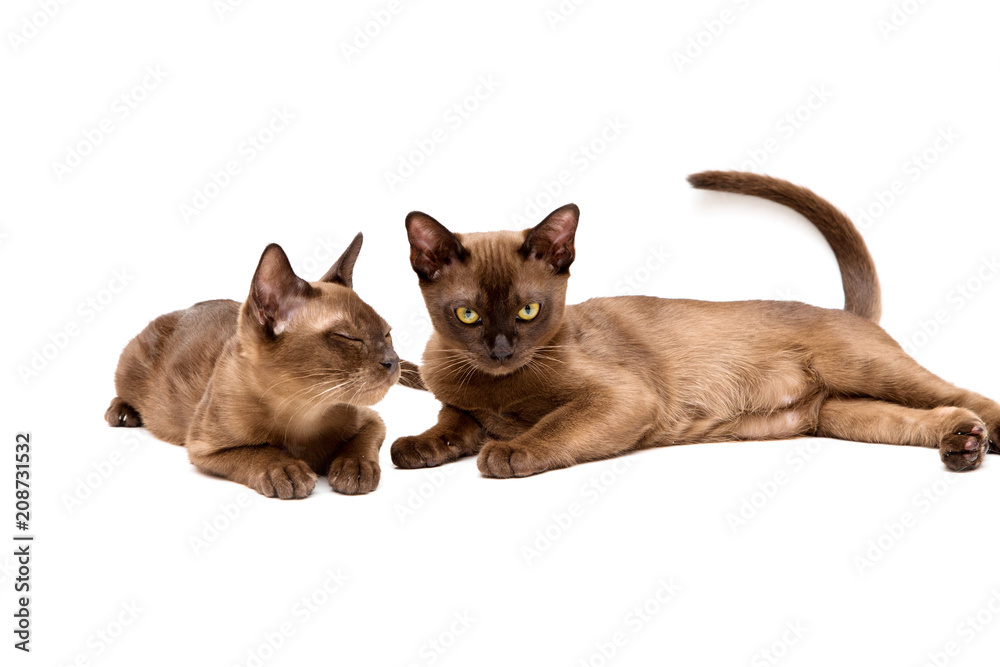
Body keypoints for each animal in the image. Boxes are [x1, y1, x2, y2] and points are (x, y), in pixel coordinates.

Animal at [106, 237, 422, 498]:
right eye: (348, 338)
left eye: (386, 334)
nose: (392, 361)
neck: (304, 411)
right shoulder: (206, 448)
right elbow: (260, 452)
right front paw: (287, 470)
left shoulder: (372, 420)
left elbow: (360, 446)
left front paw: (352, 469)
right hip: (129, 368)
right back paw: (122, 413)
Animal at [390, 171, 1000, 474]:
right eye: (467, 314)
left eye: (528, 310)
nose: (500, 350)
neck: (497, 389)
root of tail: (843, 312)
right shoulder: (460, 403)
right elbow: (452, 423)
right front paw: (419, 448)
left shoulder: (621, 397)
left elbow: (553, 426)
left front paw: (507, 452)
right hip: (842, 414)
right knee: (929, 416)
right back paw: (962, 445)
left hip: (868, 371)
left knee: (964, 394)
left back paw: (983, 439)